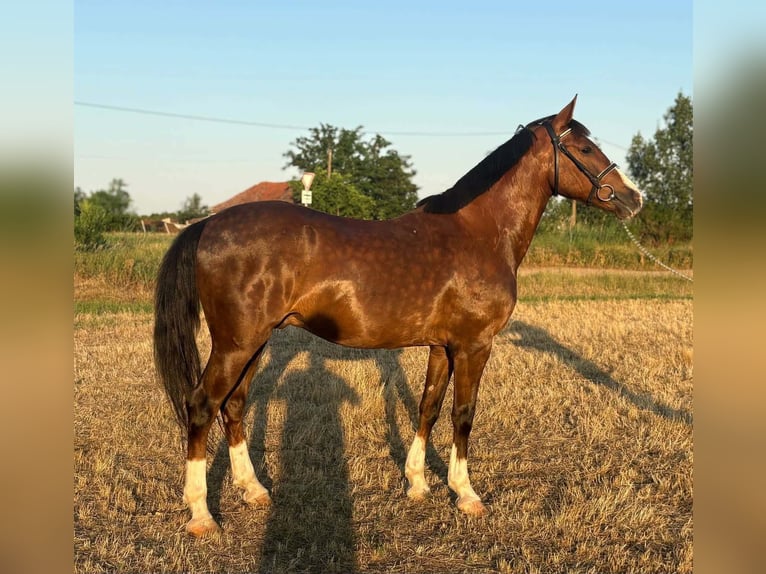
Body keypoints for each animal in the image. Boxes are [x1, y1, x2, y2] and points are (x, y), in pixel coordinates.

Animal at [153, 96, 643, 536]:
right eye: (584, 149)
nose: (633, 198)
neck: (480, 232)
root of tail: (207, 224)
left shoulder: (442, 347)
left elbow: (428, 408)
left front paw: (417, 484)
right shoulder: (474, 345)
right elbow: (463, 413)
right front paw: (466, 494)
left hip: (254, 343)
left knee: (234, 405)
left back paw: (253, 490)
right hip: (236, 345)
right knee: (201, 406)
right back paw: (201, 515)